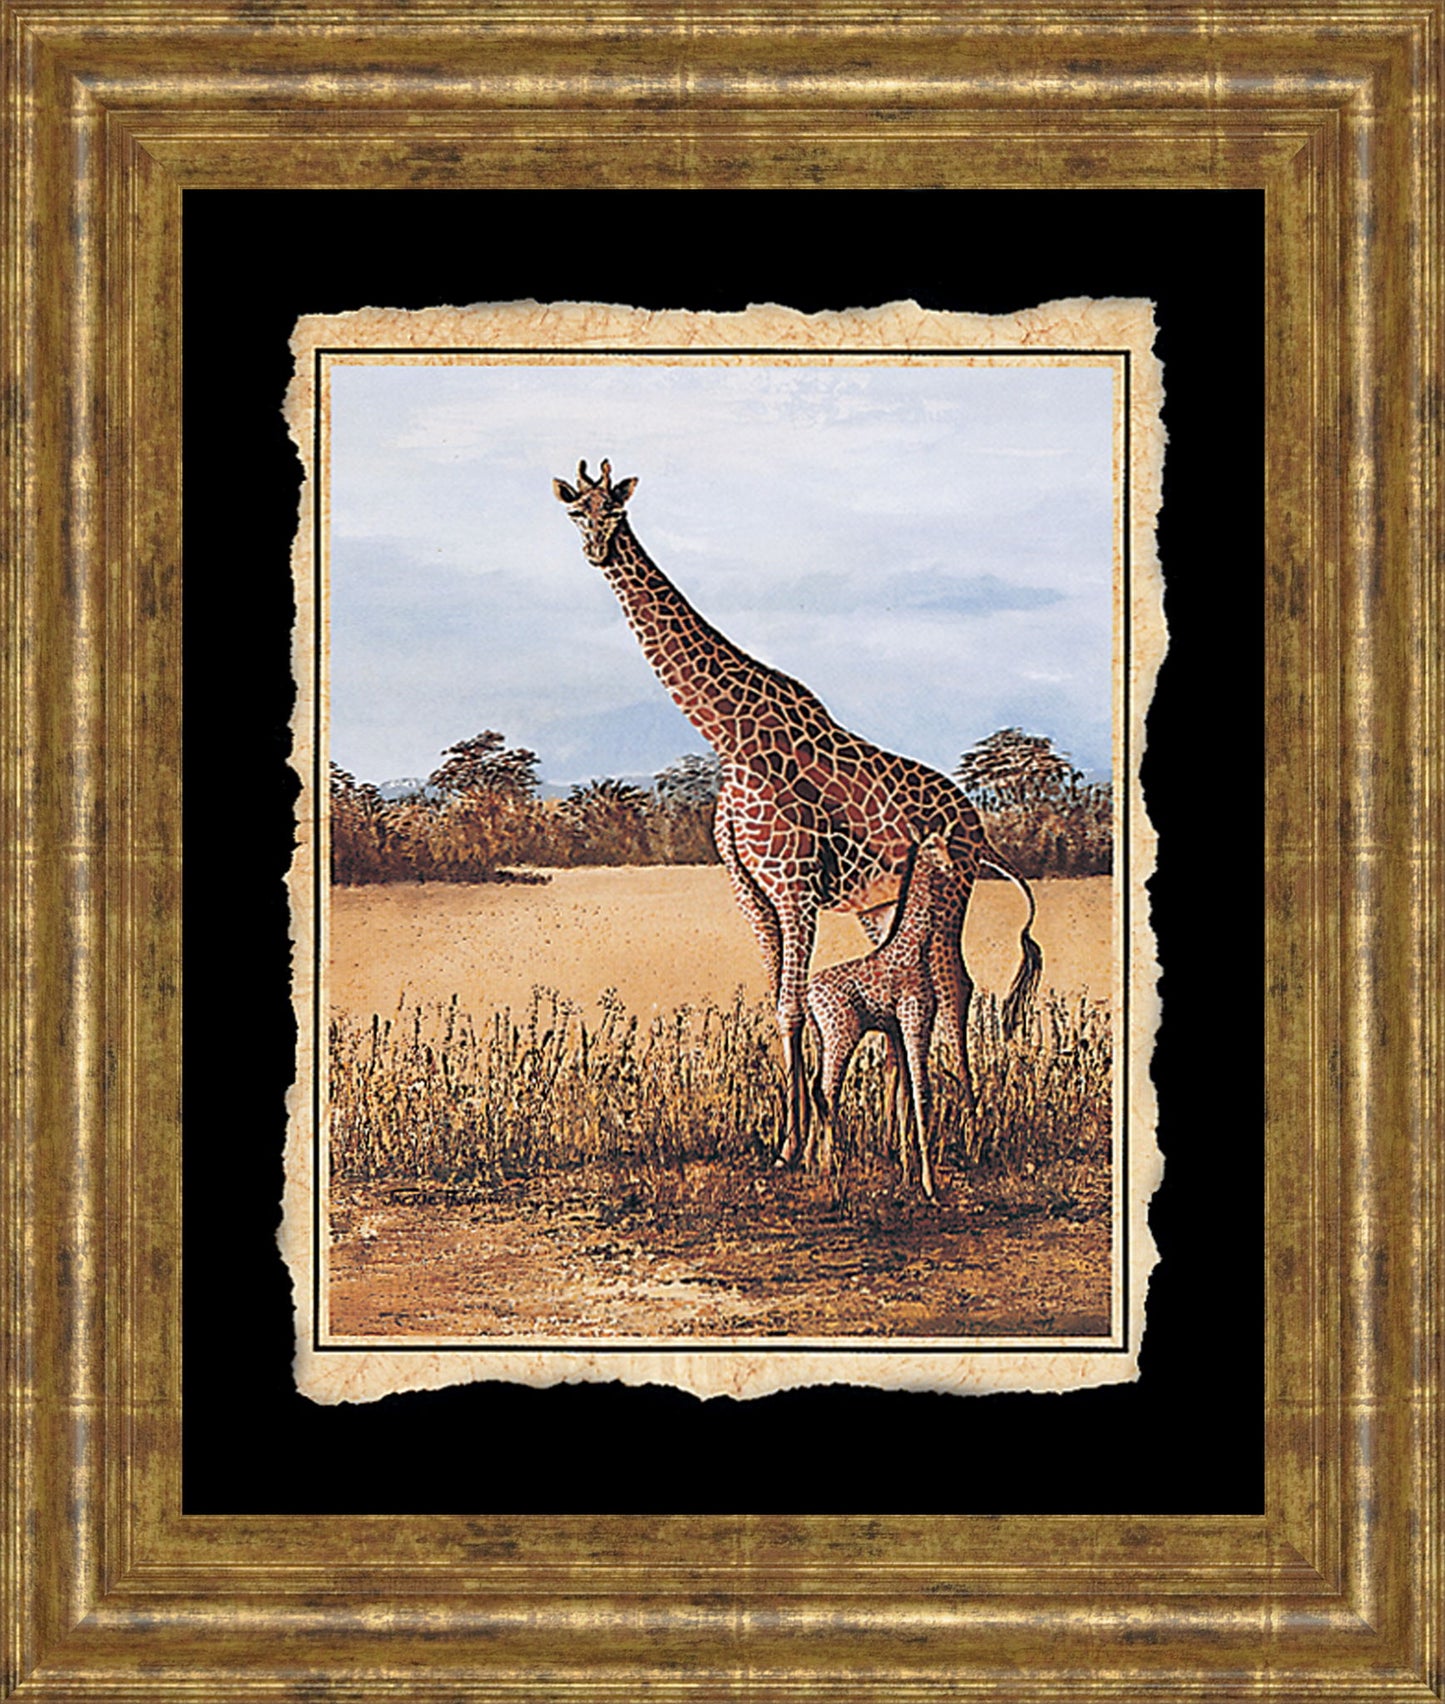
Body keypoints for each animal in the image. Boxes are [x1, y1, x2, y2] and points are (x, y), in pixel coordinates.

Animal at [804, 832, 961, 1200]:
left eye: (947, 844)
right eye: (932, 847)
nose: (950, 867)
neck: (916, 946)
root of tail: (808, 996)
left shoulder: (899, 1028)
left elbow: (903, 1096)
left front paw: (907, 1174)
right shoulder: (915, 1019)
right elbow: (922, 1093)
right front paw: (929, 1185)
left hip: (820, 1038)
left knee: (817, 1086)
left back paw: (815, 1163)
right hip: (842, 1034)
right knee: (828, 1089)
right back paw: (831, 1168)